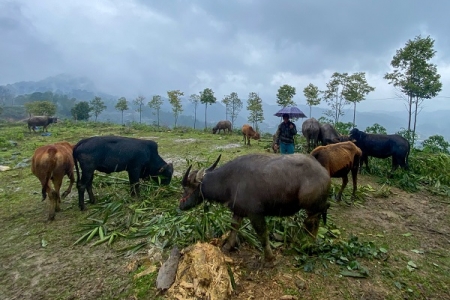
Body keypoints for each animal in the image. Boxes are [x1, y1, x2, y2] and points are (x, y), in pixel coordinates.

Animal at [179, 154, 330, 262]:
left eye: (186, 188)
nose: (180, 206)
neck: (230, 181)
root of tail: (324, 172)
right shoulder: (238, 211)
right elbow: (233, 228)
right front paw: (227, 246)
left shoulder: (255, 215)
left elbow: (262, 235)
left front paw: (270, 258)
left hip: (311, 207)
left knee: (312, 222)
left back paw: (309, 245)